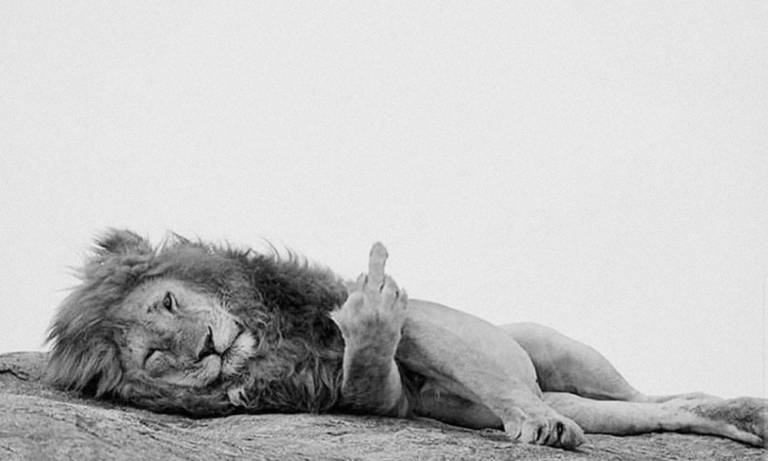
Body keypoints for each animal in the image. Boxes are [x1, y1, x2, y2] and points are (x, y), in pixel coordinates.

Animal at [45, 229, 767, 450]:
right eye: (152, 355)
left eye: (168, 302)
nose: (203, 347)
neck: (270, 337)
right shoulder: (363, 394)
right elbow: (375, 378)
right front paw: (367, 333)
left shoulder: (399, 312)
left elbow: (411, 320)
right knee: (650, 410)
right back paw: (730, 419)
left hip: (552, 350)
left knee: (643, 393)